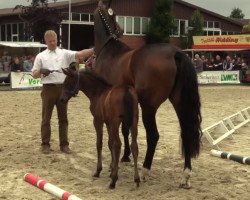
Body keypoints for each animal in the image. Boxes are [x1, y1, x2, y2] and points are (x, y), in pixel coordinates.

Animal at [93, 0, 202, 189]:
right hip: (179, 102)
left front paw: (118, 161)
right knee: (186, 132)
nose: (121, 30)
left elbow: (120, 132)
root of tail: (176, 53)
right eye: (113, 15)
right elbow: (125, 129)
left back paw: (145, 170)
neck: (108, 50)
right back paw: (185, 175)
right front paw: (125, 156)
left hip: (148, 106)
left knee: (153, 135)